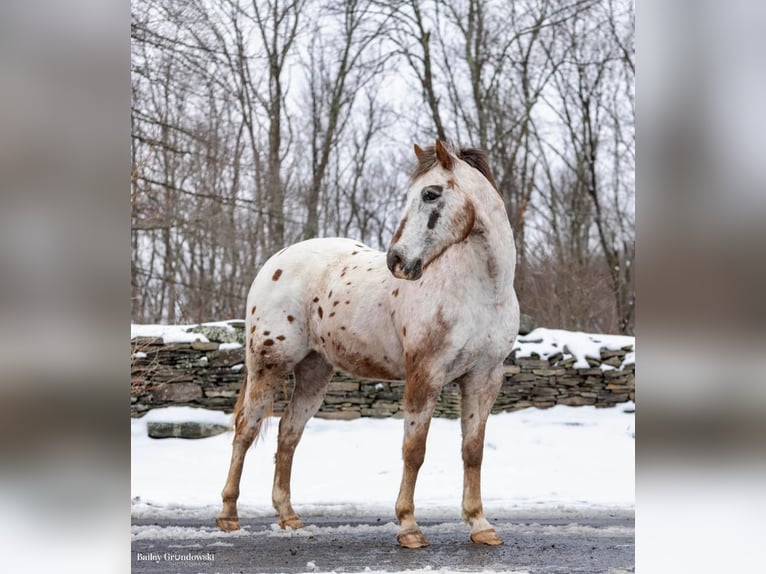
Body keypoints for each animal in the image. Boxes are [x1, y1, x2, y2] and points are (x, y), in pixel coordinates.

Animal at [219, 141, 524, 548]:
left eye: (430, 194)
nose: (397, 260)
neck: (479, 291)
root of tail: (274, 264)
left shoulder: (483, 379)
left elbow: (472, 451)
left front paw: (480, 525)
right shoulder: (424, 375)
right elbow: (414, 451)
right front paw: (409, 527)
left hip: (314, 372)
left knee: (288, 434)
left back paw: (289, 517)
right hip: (268, 365)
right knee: (245, 430)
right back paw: (228, 515)